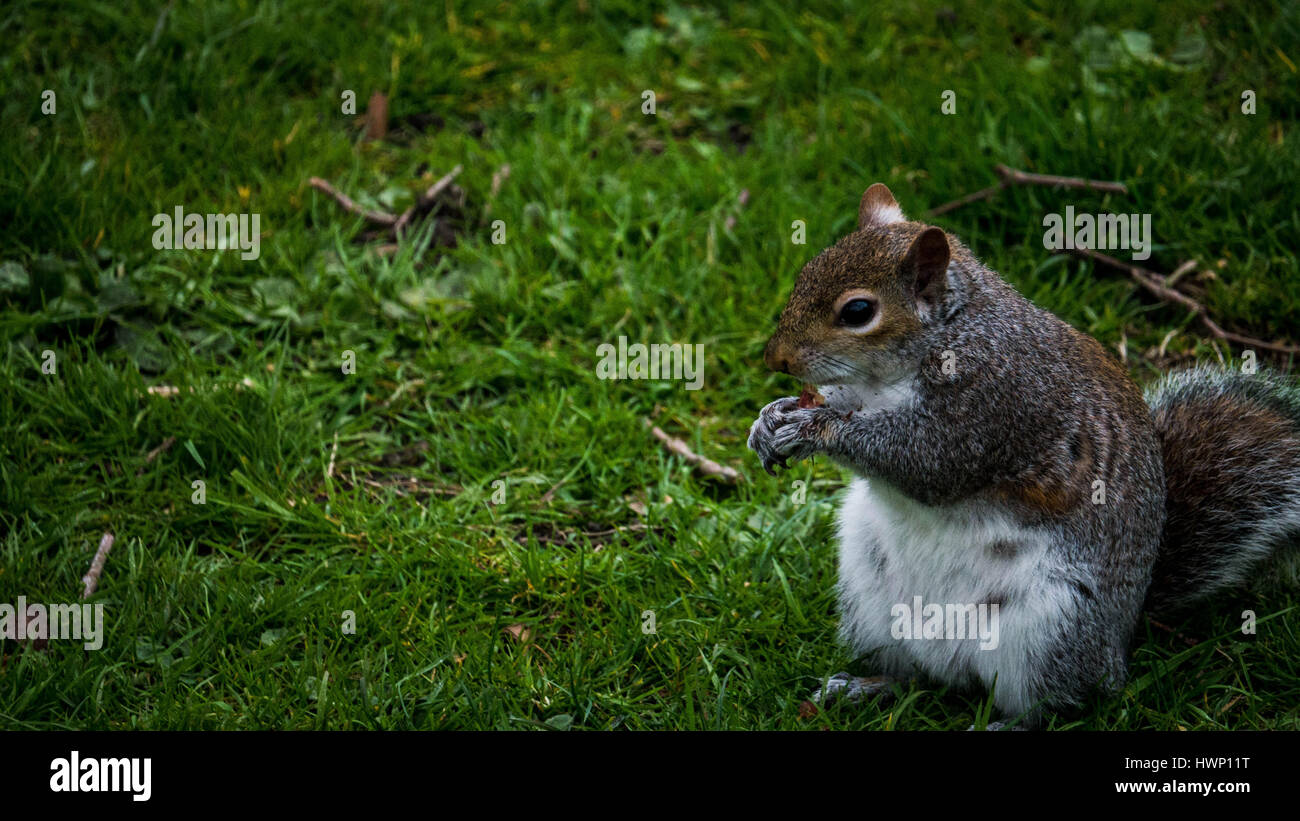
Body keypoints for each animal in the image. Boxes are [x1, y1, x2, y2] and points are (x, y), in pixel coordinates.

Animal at [747, 182, 1300, 727]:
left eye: (858, 312)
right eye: (807, 271)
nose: (775, 358)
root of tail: (1119, 641)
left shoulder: (994, 404)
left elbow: (925, 462)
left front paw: (814, 429)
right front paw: (770, 419)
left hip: (1048, 626)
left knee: (1060, 702)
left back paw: (1006, 720)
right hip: (870, 592)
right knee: (914, 676)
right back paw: (864, 686)